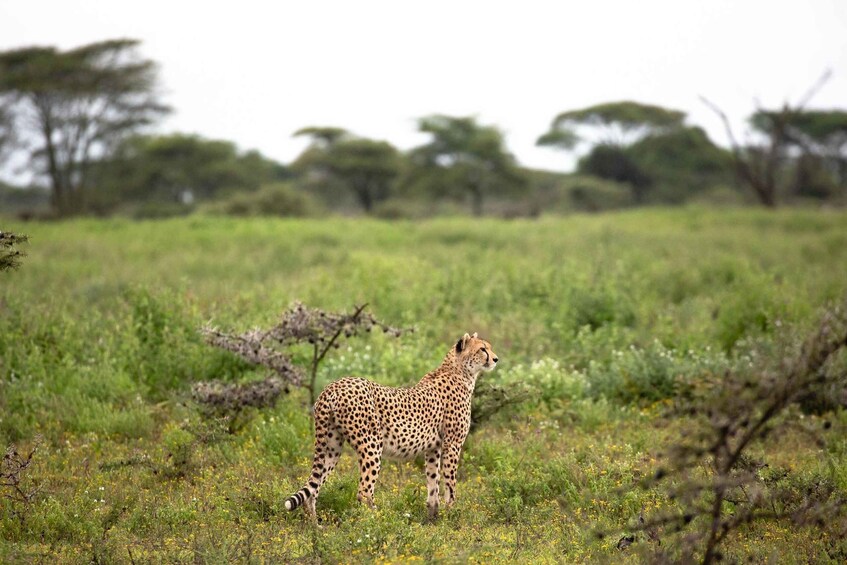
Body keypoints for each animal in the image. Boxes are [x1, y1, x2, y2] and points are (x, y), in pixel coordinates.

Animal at [284, 332, 499, 521]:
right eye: (482, 349)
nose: (496, 359)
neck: (460, 371)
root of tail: (334, 385)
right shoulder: (452, 444)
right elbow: (450, 483)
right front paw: (451, 514)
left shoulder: (433, 448)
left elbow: (433, 482)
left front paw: (433, 517)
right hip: (371, 445)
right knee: (363, 492)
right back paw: (378, 521)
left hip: (331, 446)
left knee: (314, 487)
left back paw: (316, 527)